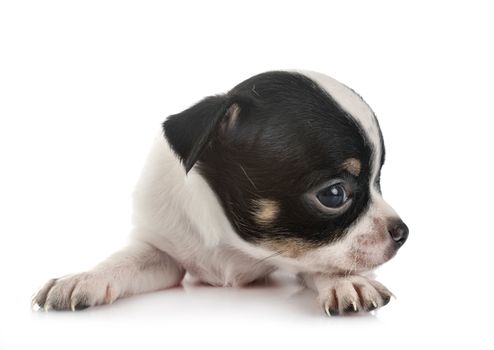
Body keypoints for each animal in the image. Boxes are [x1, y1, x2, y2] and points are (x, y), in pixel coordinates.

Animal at [32, 70, 408, 314]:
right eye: (334, 195)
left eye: (378, 181)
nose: (402, 231)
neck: (233, 244)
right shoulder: (162, 251)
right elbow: (126, 259)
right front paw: (85, 277)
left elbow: (323, 260)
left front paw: (346, 282)